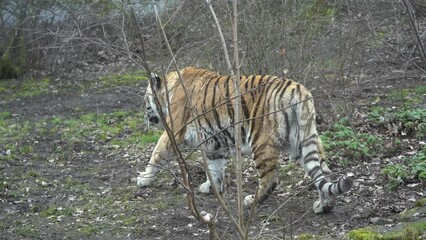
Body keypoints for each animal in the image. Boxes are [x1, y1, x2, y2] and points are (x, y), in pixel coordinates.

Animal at [137, 66, 352, 213]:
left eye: (146, 99)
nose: (145, 117)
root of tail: (300, 90)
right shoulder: (214, 144)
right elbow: (215, 168)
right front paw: (212, 187)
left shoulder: (172, 132)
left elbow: (156, 154)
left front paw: (144, 179)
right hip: (303, 141)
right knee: (323, 173)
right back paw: (324, 205)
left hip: (261, 141)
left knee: (271, 179)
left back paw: (251, 201)